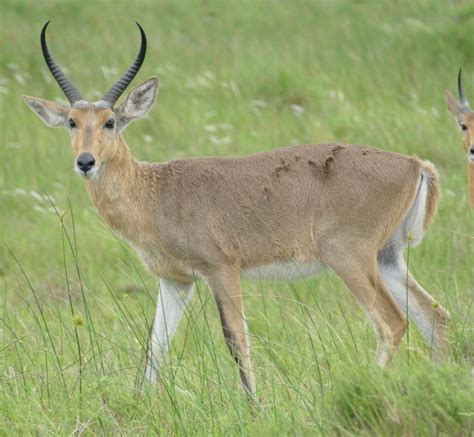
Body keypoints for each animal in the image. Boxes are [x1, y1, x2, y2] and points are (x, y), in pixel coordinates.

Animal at [24, 21, 450, 396]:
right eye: (72, 121)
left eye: (110, 121)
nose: (85, 161)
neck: (156, 192)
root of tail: (415, 164)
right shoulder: (176, 281)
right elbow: (155, 348)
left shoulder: (222, 270)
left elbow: (236, 342)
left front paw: (254, 406)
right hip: (387, 258)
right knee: (434, 317)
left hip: (349, 257)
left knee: (392, 322)